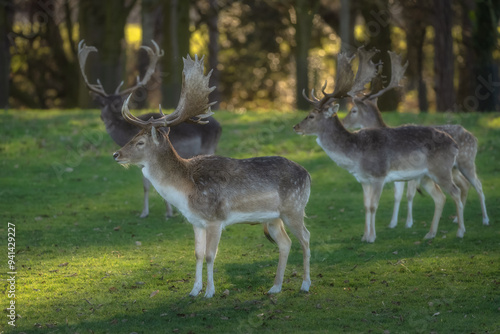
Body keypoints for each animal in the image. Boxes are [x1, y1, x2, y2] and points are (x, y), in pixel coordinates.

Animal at [77, 40, 222, 218]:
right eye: (102, 104)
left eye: (117, 103)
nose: (103, 117)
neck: (124, 132)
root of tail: (220, 126)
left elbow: (148, 185)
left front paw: (157, 212)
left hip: (208, 147)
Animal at [112, 54, 312, 298]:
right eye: (132, 136)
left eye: (140, 142)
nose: (116, 154)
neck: (186, 190)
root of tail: (308, 175)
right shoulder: (196, 221)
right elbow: (197, 254)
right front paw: (194, 290)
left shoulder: (216, 219)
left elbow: (210, 255)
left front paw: (209, 292)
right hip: (273, 217)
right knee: (285, 243)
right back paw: (275, 287)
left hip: (294, 207)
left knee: (306, 238)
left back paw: (305, 284)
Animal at [292, 46, 464, 243]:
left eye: (312, 116)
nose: (295, 126)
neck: (356, 156)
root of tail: (454, 144)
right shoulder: (363, 180)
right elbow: (366, 206)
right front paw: (364, 236)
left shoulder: (379, 176)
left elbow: (374, 206)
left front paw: (372, 237)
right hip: (425, 176)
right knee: (440, 197)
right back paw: (430, 234)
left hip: (442, 169)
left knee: (456, 192)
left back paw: (460, 231)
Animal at [344, 51, 488, 228]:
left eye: (353, 110)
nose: (343, 122)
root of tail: (474, 138)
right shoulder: (397, 173)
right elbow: (397, 195)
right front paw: (393, 223)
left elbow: (410, 194)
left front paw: (408, 223)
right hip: (453, 168)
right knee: (465, 185)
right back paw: (456, 219)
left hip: (467, 161)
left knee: (478, 185)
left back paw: (485, 219)